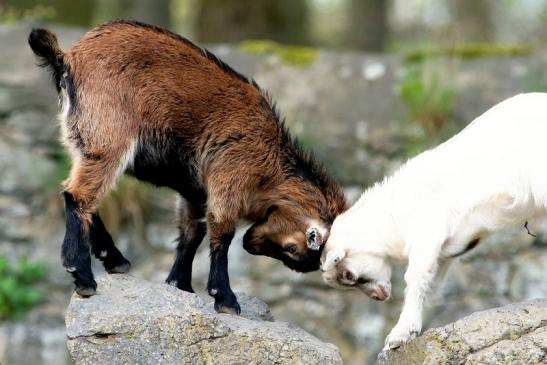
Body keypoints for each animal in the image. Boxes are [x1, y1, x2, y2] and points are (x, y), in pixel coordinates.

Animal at [28, 20, 346, 312]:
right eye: (293, 248)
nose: (249, 244)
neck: (270, 166)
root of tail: (68, 57)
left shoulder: (195, 191)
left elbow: (191, 232)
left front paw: (179, 284)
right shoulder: (228, 177)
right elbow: (221, 231)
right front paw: (224, 298)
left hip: (81, 140)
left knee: (81, 194)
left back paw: (114, 259)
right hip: (108, 139)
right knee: (78, 195)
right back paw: (83, 276)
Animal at [322, 93, 547, 350]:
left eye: (349, 275)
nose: (379, 297)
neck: (392, 214)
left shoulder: (426, 233)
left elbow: (415, 277)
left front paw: (399, 335)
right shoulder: (445, 250)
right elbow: (431, 283)